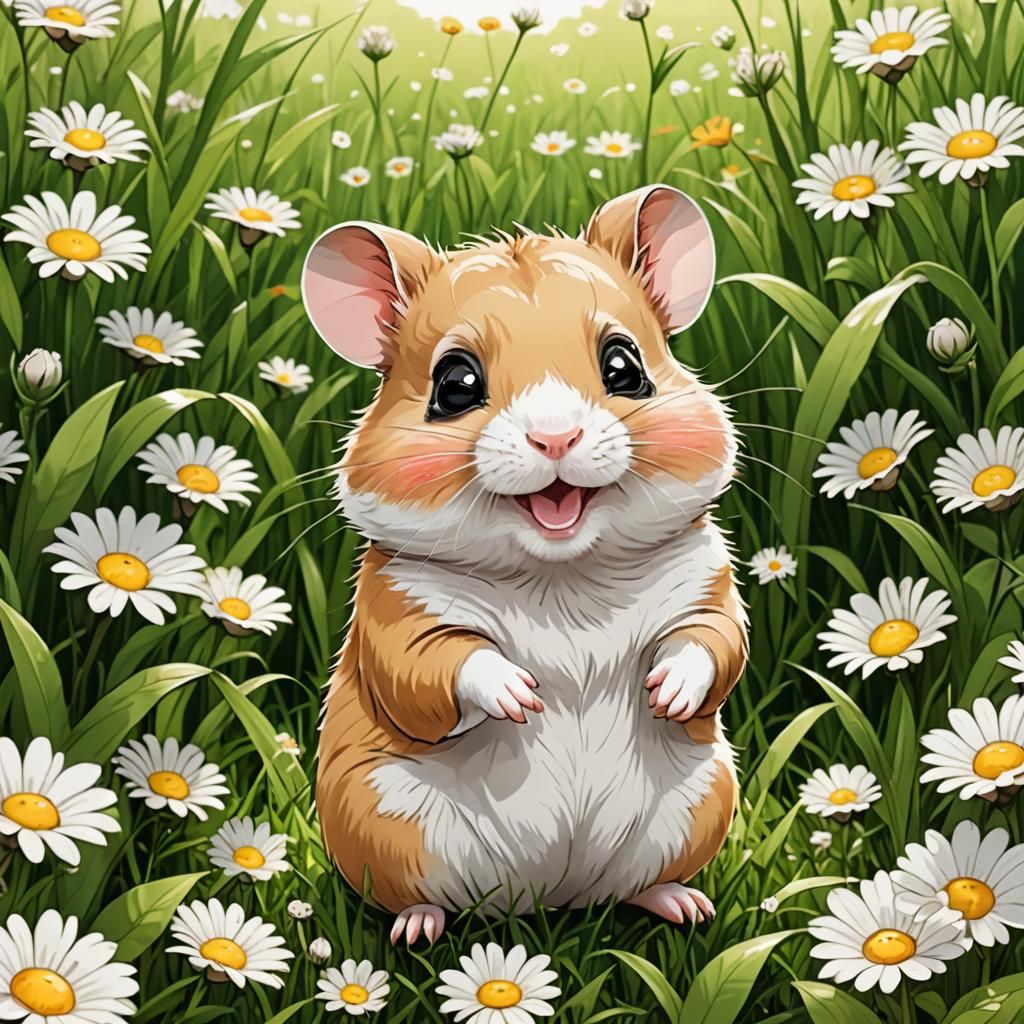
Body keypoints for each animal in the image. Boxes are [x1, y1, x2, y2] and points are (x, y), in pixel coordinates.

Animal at [301, 184, 747, 945]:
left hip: (702, 801)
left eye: (625, 367)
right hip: (381, 822)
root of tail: (549, 899)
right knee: (413, 895)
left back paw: (686, 906)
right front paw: (524, 698)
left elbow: (712, 646)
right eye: (455, 384)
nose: (555, 437)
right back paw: (416, 930)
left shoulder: (707, 589)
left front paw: (665, 695)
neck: (562, 575)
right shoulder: (396, 619)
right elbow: (439, 668)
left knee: (644, 882)